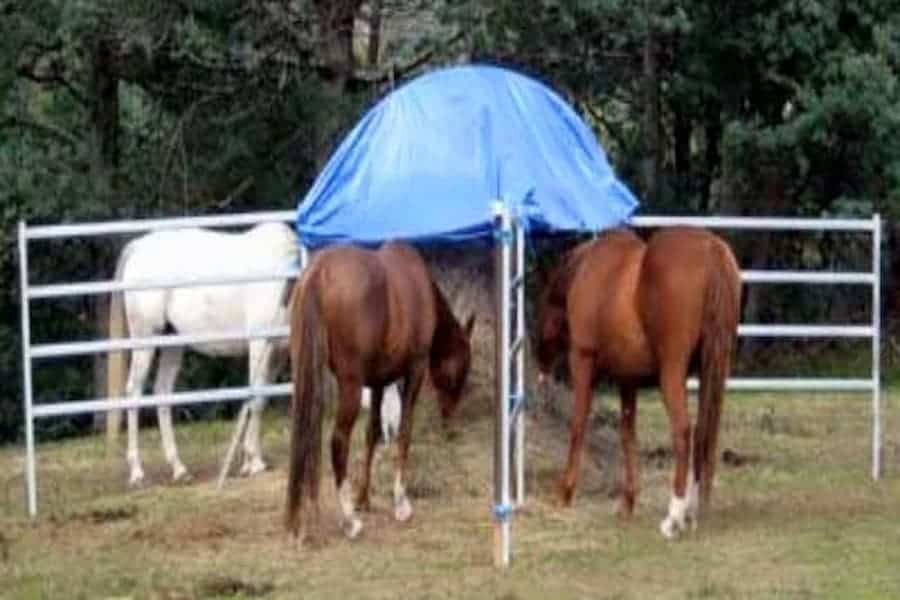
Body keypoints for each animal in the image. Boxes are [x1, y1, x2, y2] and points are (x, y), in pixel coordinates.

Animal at [103, 223, 400, 486]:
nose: (393, 434)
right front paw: (253, 463)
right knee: (134, 394)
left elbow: (262, 399)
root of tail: (138, 247)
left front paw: (251, 458)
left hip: (172, 342)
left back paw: (179, 468)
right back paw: (137, 472)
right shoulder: (259, 344)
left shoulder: (278, 352)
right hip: (146, 338)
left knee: (163, 394)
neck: (291, 283)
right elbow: (255, 398)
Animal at [286, 241, 478, 540]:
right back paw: (350, 521)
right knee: (338, 441)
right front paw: (400, 503)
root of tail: (318, 272)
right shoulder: (415, 370)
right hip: (351, 386)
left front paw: (364, 499)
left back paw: (300, 521)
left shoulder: (377, 382)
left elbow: (372, 432)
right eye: (463, 369)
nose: (450, 419)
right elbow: (404, 430)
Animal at [536, 226, 740, 540]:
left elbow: (578, 425)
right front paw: (628, 502)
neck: (586, 271)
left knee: (683, 432)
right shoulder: (627, 380)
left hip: (672, 373)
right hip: (711, 369)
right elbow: (627, 434)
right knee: (703, 434)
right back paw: (690, 513)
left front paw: (565, 491)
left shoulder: (582, 362)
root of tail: (711, 250)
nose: (540, 370)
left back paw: (674, 518)